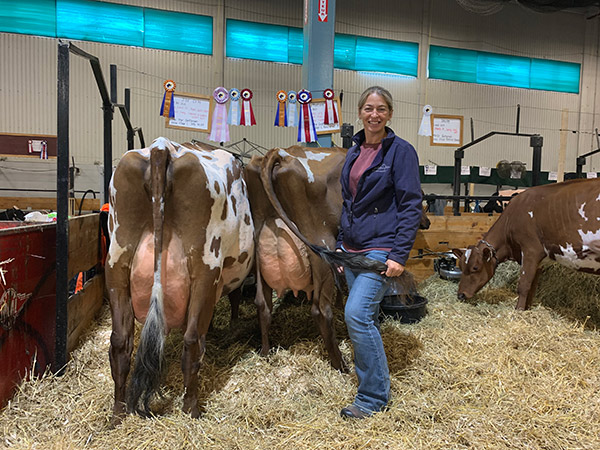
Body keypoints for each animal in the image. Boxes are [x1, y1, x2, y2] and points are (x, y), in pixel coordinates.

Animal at [105, 137, 253, 426]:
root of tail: (162, 147)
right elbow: (234, 298)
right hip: (206, 268)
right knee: (192, 340)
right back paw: (192, 409)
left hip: (116, 261)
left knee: (119, 342)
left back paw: (118, 413)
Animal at [454, 178, 600, 312]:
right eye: (461, 267)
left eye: (475, 267)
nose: (461, 295)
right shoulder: (539, 261)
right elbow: (532, 287)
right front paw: (527, 309)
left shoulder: (531, 250)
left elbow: (523, 285)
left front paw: (518, 310)